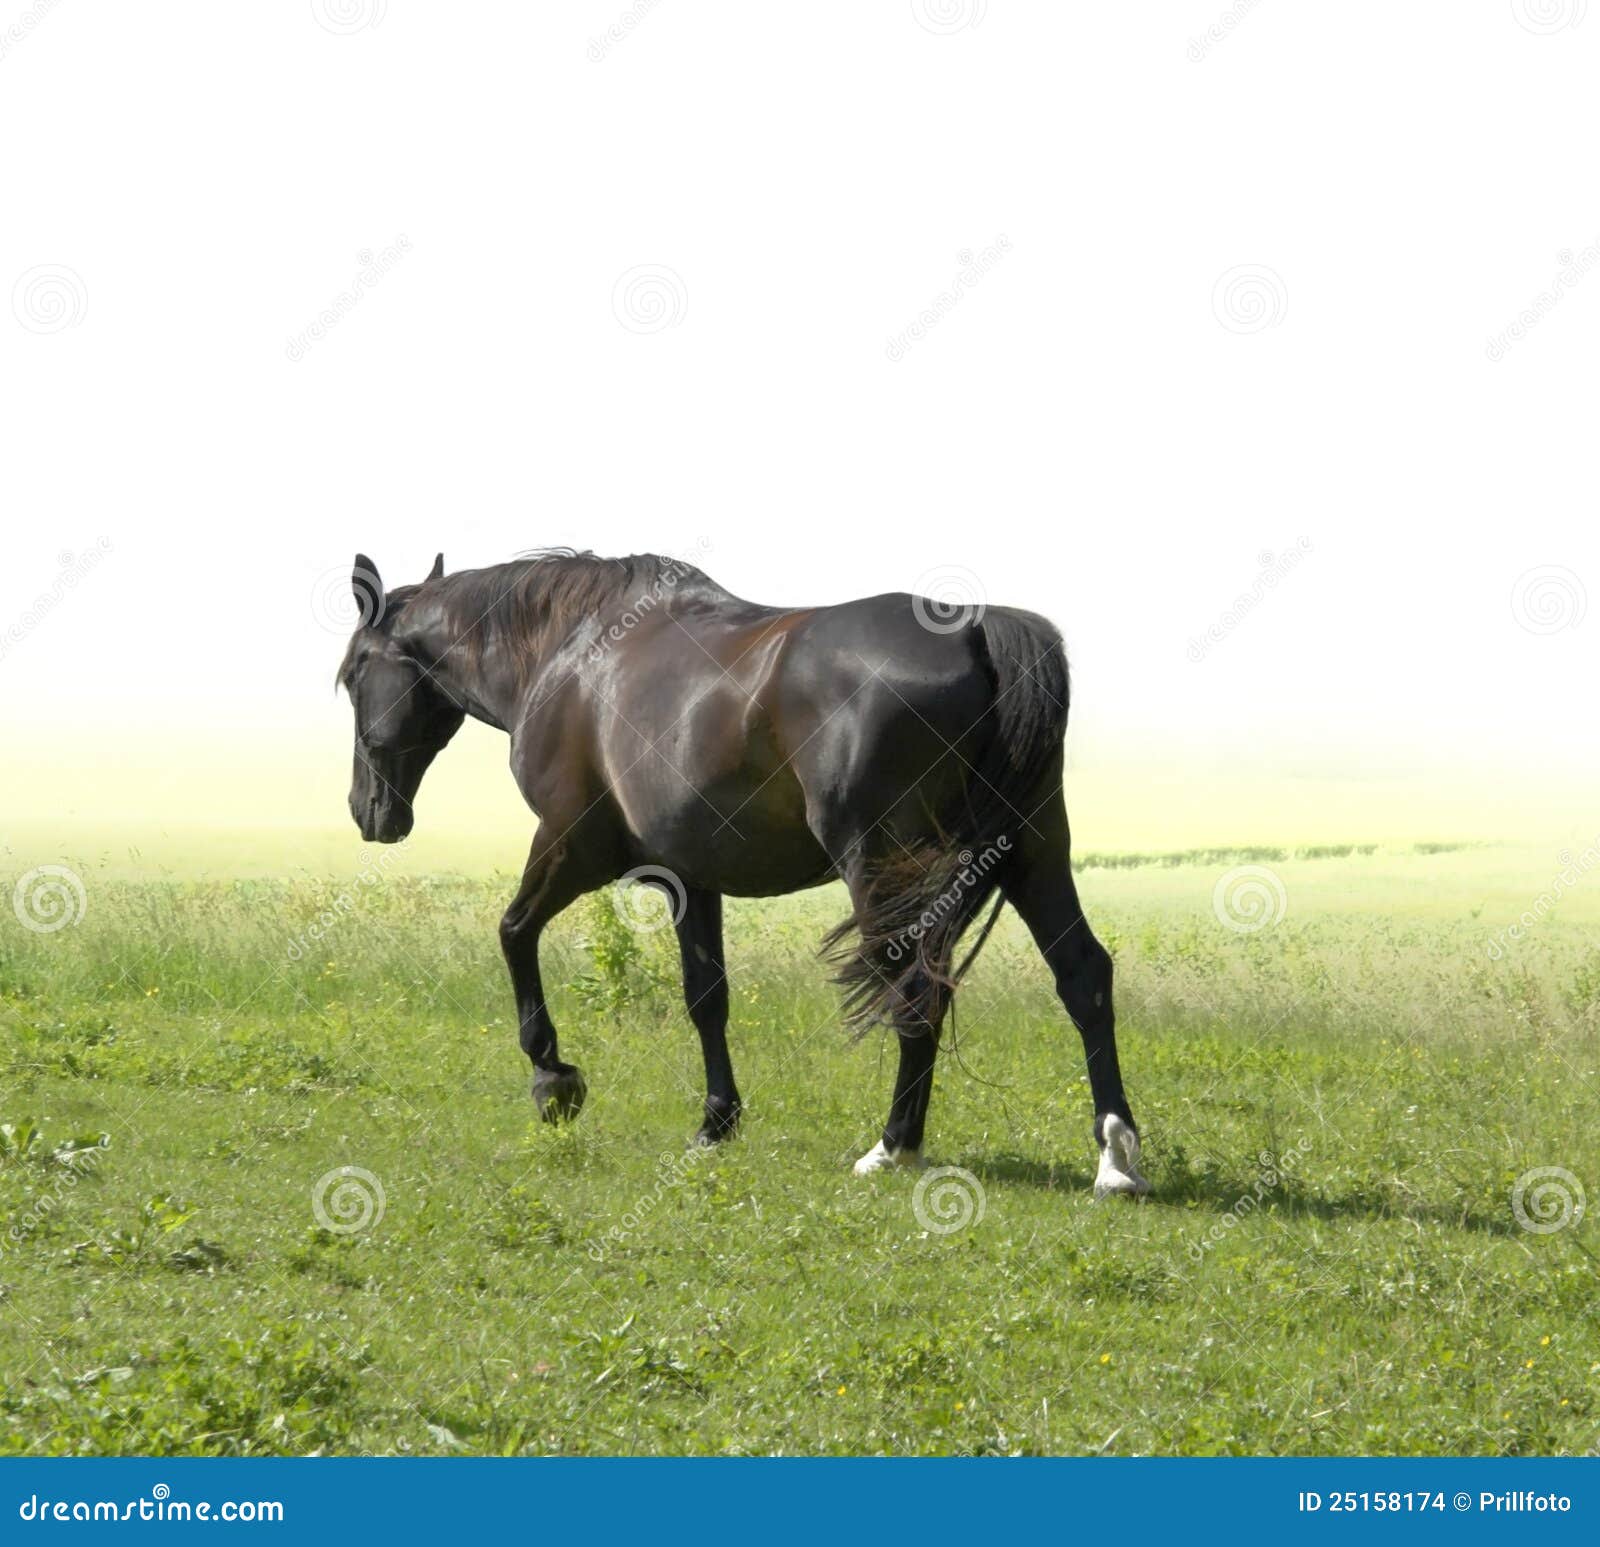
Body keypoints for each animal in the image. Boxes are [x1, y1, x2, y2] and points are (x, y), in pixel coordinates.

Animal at [336, 549, 1149, 1198]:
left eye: (352, 674)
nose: (367, 811)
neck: (569, 654)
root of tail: (981, 631)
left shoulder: (572, 846)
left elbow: (513, 931)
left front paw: (554, 1081)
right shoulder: (690, 876)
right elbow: (707, 996)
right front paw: (715, 1121)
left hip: (887, 868)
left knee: (918, 992)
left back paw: (892, 1147)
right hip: (1032, 853)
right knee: (1082, 976)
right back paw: (1115, 1157)